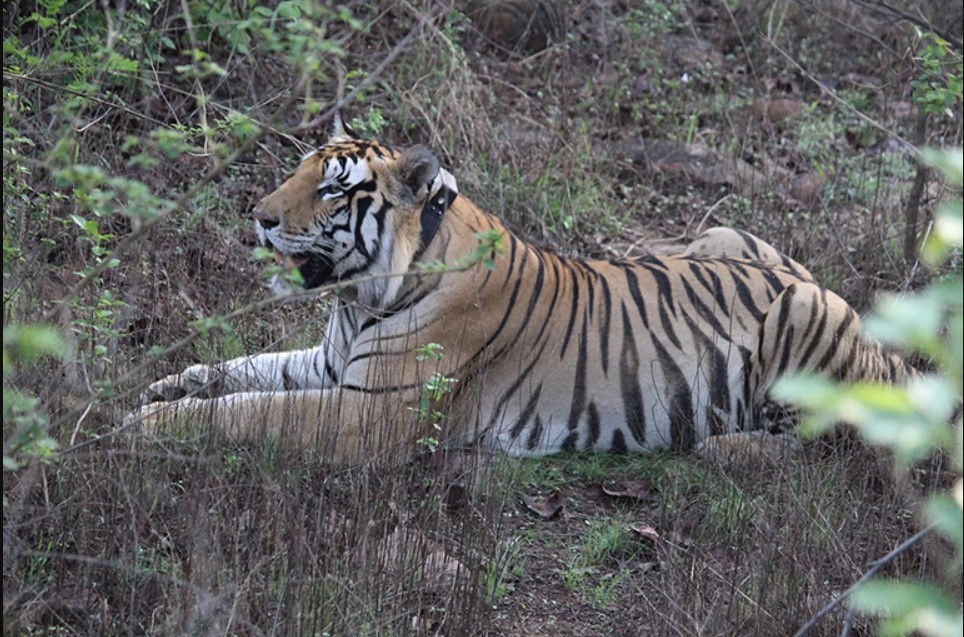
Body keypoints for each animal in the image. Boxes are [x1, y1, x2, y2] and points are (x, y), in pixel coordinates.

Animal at [132, 114, 916, 462]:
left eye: (330, 188)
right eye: (298, 169)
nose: (258, 216)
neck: (360, 298)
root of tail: (882, 346)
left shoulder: (371, 414)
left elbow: (249, 411)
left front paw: (146, 424)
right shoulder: (330, 365)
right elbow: (245, 370)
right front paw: (167, 384)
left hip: (804, 312)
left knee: (836, 444)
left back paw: (724, 449)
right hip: (727, 236)